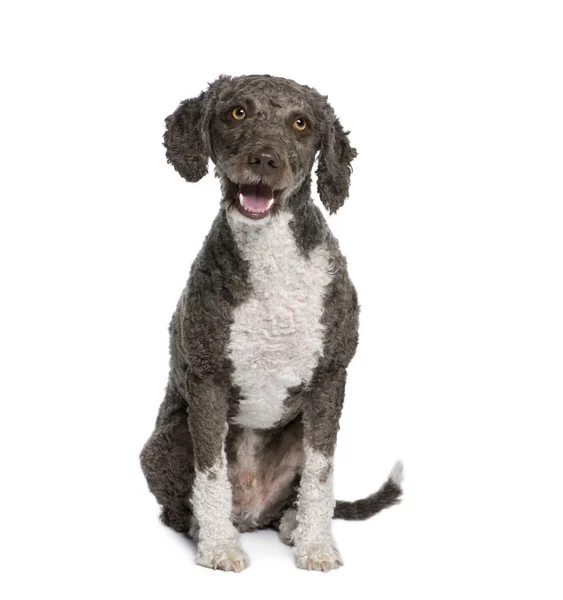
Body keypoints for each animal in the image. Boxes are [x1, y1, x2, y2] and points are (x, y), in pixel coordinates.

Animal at [142, 74, 406, 572]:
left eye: (301, 123)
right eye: (237, 112)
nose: (265, 159)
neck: (272, 258)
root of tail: (252, 513)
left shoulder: (330, 380)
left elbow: (320, 478)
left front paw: (316, 546)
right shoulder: (206, 380)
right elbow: (209, 475)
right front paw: (218, 548)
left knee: (295, 497)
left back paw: (292, 524)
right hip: (167, 439)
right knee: (178, 508)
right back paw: (206, 529)